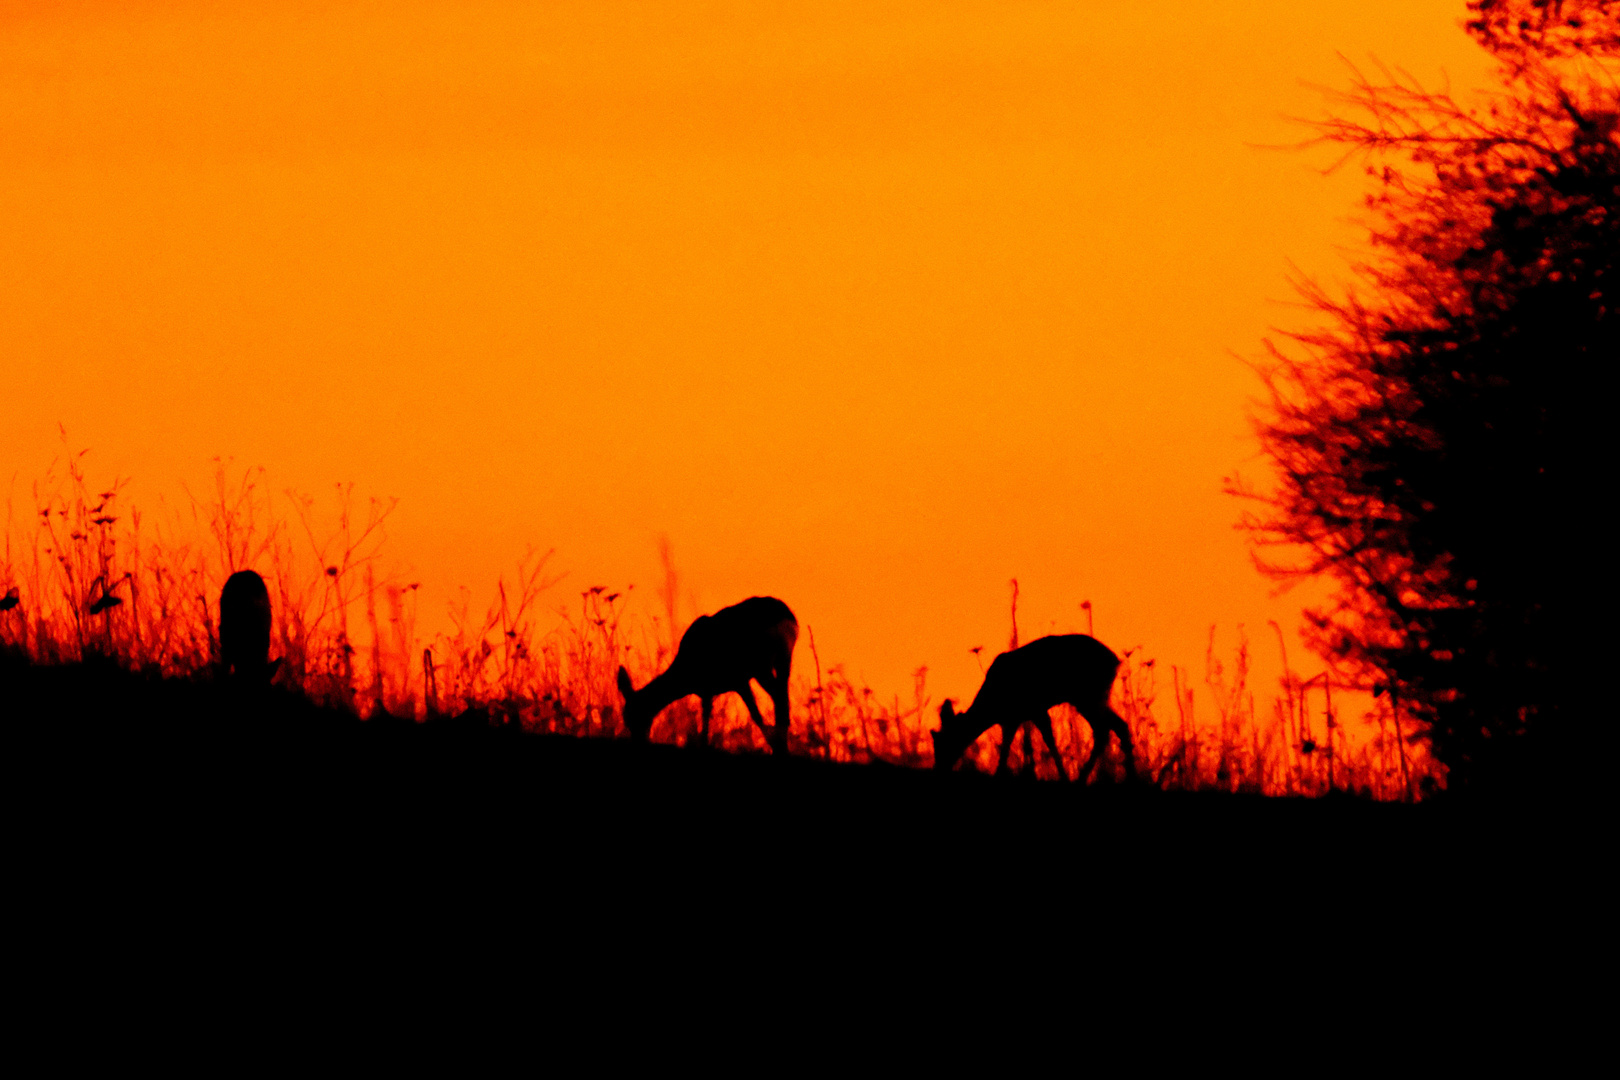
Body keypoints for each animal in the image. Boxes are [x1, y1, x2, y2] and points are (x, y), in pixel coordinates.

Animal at [615, 595, 793, 757]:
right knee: (783, 698)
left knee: (779, 698)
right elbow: (707, 716)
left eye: (636, 715)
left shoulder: (736, 681)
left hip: (761, 666)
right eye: (626, 717)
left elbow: (752, 715)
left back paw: (779, 748)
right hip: (782, 660)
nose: (638, 742)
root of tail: (784, 613)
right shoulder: (711, 690)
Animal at [933, 637, 1134, 780]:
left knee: (1103, 731)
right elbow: (1019, 744)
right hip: (1096, 698)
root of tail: (1116, 661)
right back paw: (1129, 776)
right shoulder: (1020, 717)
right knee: (1120, 726)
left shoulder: (1029, 712)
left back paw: (1082, 778)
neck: (992, 705)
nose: (938, 769)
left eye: (943, 742)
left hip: (1087, 697)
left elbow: (1022, 745)